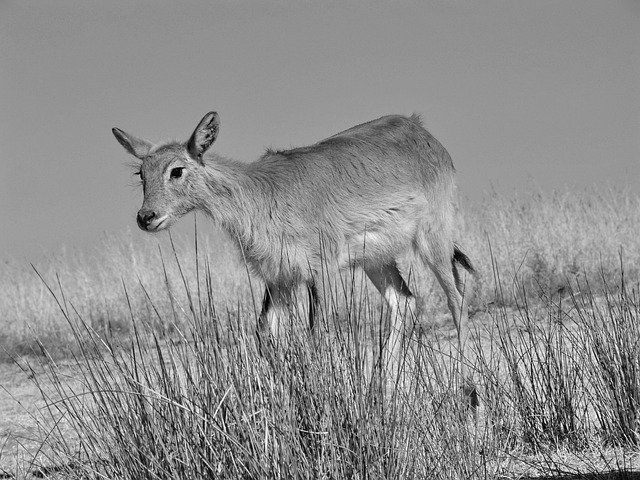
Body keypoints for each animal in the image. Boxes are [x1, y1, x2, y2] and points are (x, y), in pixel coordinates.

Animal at [112, 112, 476, 366]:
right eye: (140, 173)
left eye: (176, 170)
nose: (146, 217)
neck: (263, 196)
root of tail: (420, 129)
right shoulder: (279, 279)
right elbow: (263, 336)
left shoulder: (321, 272)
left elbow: (316, 334)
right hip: (377, 260)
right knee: (404, 300)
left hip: (433, 241)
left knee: (456, 297)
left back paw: (466, 385)